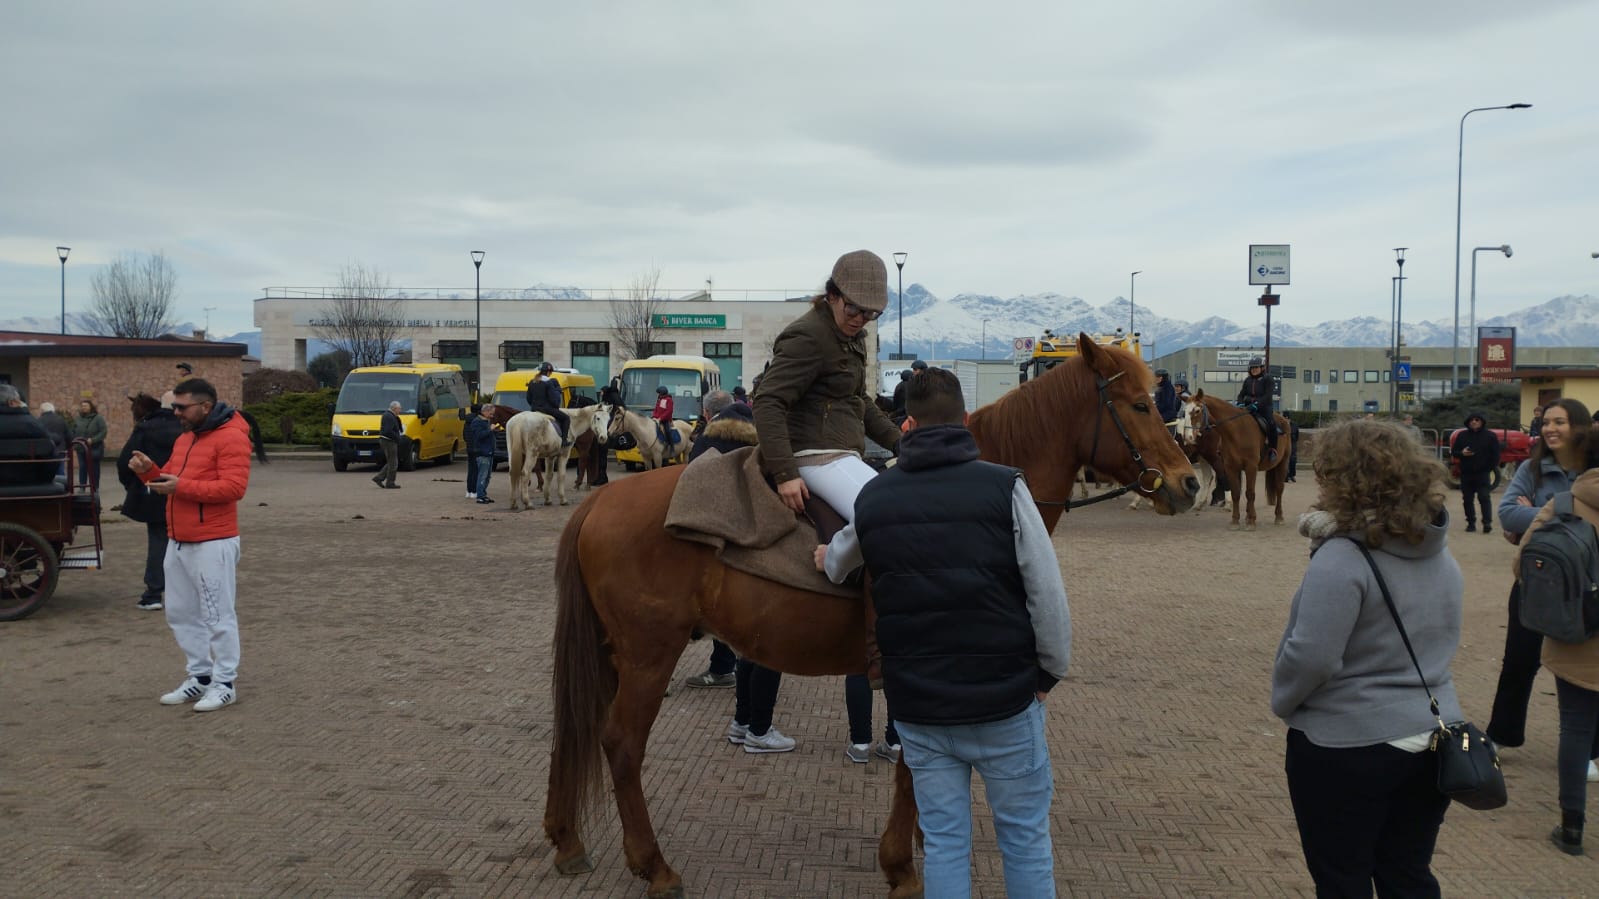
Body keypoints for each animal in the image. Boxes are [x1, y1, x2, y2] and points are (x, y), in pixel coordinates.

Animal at [543, 334, 1196, 895]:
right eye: (1141, 404)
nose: (1189, 483)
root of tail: (602, 498)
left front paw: (919, 844)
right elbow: (910, 763)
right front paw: (902, 864)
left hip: (613, 655)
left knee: (575, 730)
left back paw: (567, 840)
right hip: (649, 656)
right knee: (621, 744)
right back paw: (653, 866)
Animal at [1189, 388, 1285, 527]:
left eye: (1197, 410)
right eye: (1185, 411)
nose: (1189, 436)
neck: (1237, 431)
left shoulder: (1251, 466)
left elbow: (1250, 493)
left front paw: (1251, 521)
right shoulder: (1231, 466)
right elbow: (1235, 492)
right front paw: (1236, 520)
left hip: (1283, 462)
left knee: (1279, 488)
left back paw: (1279, 517)